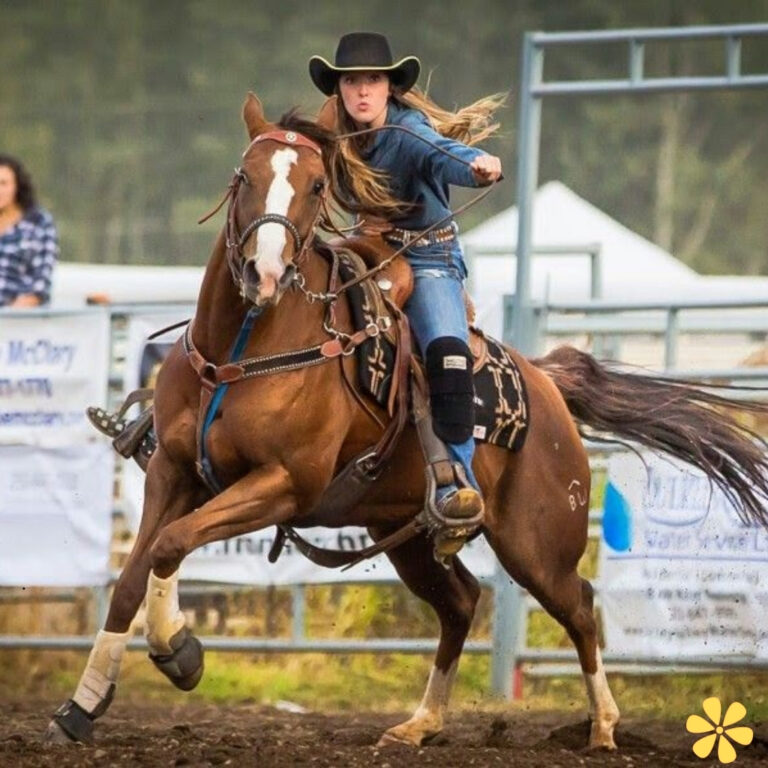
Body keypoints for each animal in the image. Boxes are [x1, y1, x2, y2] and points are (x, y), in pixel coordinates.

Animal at [45, 92, 768, 751]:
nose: (264, 271)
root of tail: (544, 381)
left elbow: (172, 546)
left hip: (536, 544)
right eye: (243, 176)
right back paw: (422, 722)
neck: (241, 353)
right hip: (405, 533)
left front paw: (179, 651)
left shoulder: (285, 484)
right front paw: (82, 707)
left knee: (581, 607)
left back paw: (604, 727)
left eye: (315, 185)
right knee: (461, 603)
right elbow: (132, 577)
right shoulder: (173, 472)